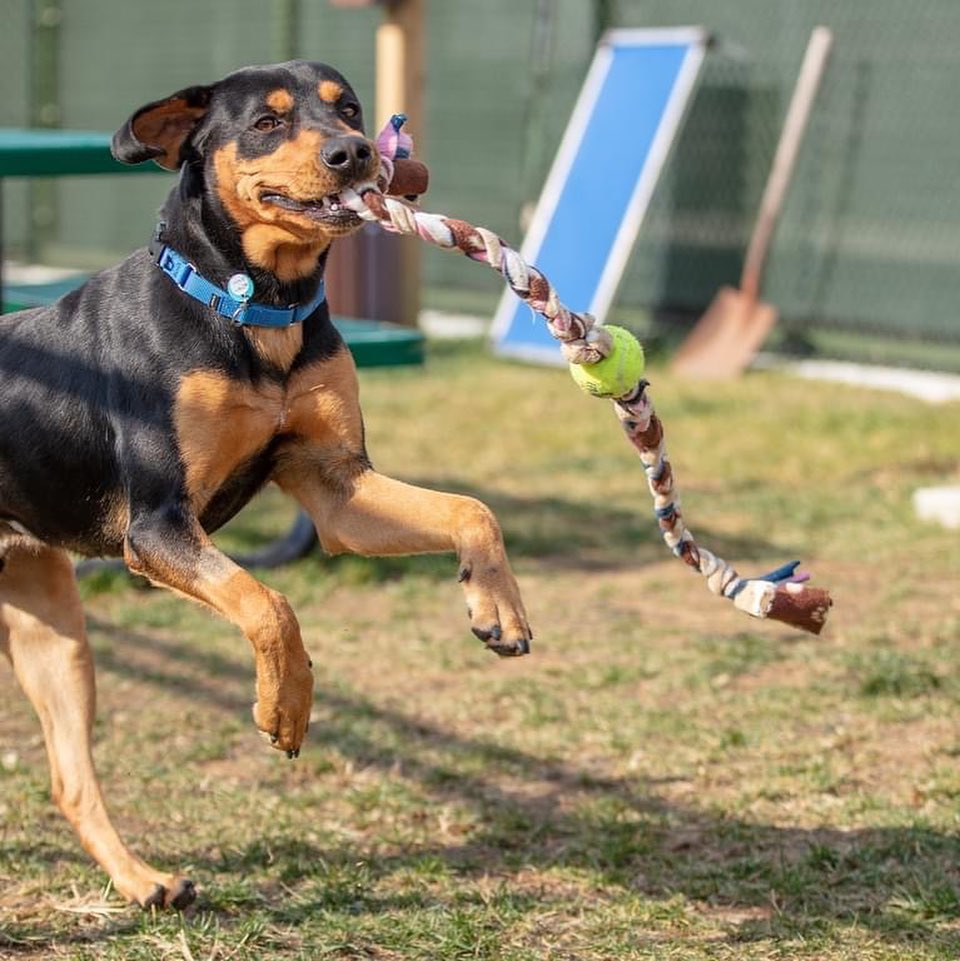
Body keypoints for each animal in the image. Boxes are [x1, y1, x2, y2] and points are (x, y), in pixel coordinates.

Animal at [0, 62, 532, 908]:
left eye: (348, 108)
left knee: (70, 779)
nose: (355, 152)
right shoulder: (157, 526)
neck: (255, 304)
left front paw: (498, 606)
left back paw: (144, 881)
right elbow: (269, 603)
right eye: (266, 123)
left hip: (54, 631)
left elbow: (470, 509)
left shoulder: (336, 485)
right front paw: (286, 704)